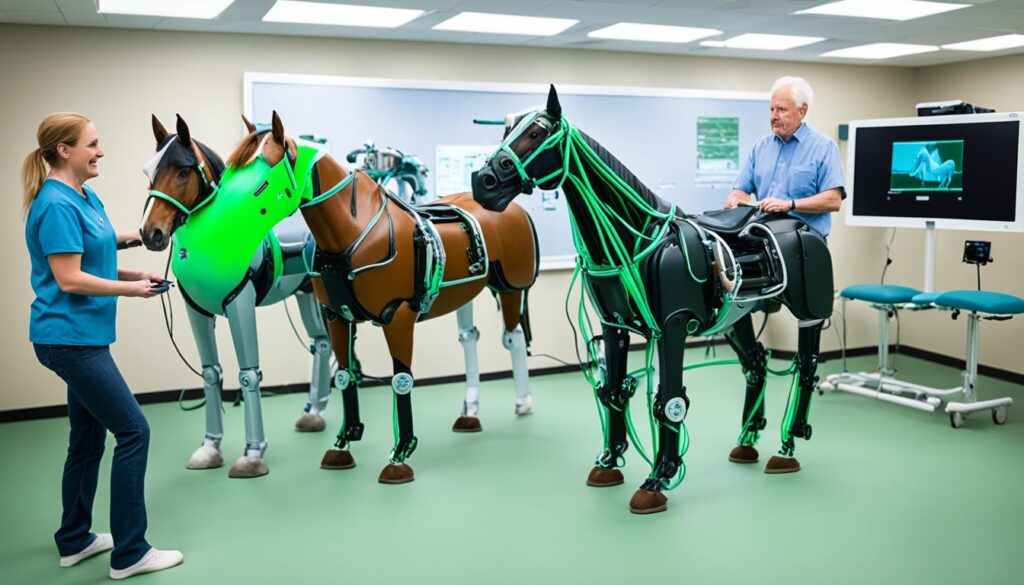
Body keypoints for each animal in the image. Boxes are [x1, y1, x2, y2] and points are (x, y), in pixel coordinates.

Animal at [471, 86, 831, 512]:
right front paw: (609, 462)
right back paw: (746, 440)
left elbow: (669, 402)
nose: (482, 182)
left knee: (806, 369)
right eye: (505, 131)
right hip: (737, 316)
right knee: (756, 364)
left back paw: (786, 447)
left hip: (811, 312)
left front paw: (658, 479)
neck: (635, 236)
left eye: (537, 132)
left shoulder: (672, 326)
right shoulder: (614, 324)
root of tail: (802, 226)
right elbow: (613, 390)